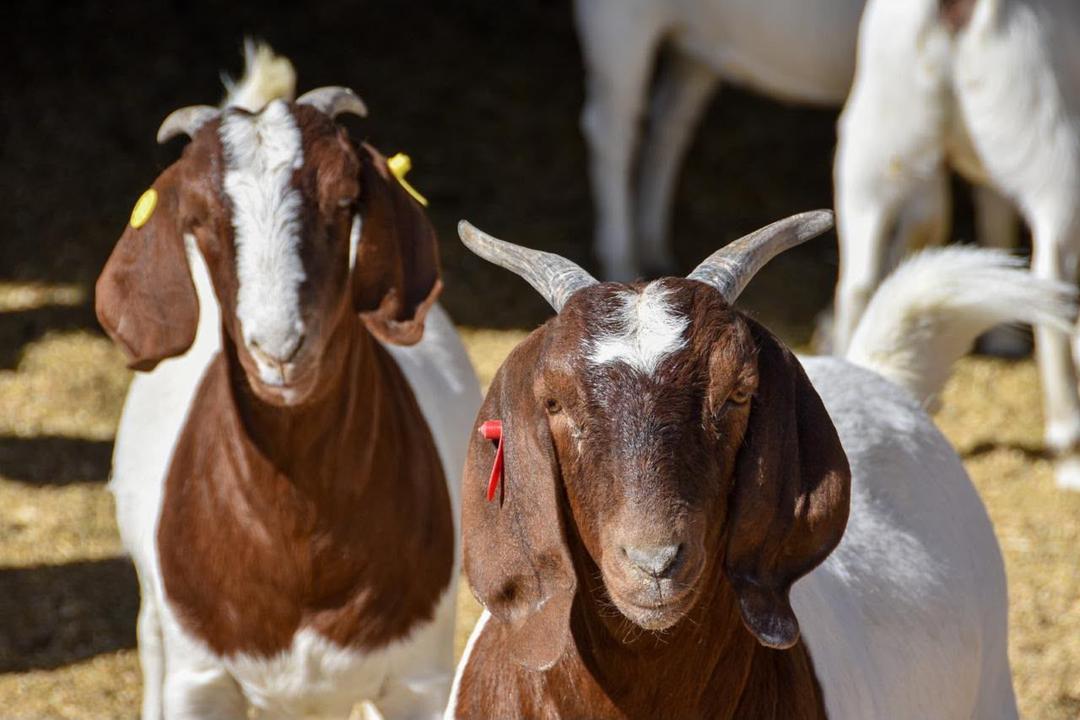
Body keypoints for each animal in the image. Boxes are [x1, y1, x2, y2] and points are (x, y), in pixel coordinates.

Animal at [96, 46, 480, 719]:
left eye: (346, 197)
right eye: (196, 218)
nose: (279, 349)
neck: (300, 540)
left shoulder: (419, 679)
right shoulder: (199, 678)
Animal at [574, 0, 1019, 290]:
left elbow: (992, 200)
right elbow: (928, 216)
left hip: (695, 49)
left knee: (670, 123)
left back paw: (653, 247)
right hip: (619, 26)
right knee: (611, 131)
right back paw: (620, 259)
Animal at [832, 0, 1080, 490]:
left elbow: (989, 211)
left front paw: (1003, 338)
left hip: (874, 145)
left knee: (858, 279)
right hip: (1055, 147)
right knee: (1055, 282)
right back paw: (1069, 450)